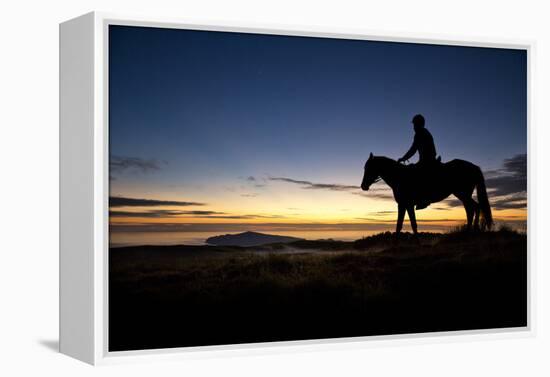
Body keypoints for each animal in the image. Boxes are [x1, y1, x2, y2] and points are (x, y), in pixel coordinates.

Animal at [362, 153, 496, 238]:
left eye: (368, 168)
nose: (363, 186)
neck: (399, 176)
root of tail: (473, 167)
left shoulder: (405, 204)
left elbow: (406, 224)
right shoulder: (406, 204)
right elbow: (407, 224)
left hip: (463, 193)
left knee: (473, 208)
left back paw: (472, 231)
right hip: (463, 194)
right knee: (473, 208)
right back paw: (471, 231)